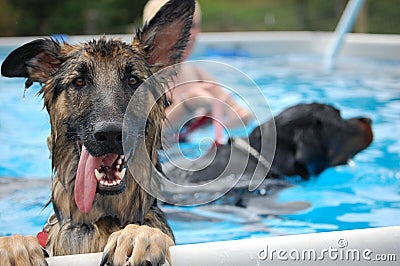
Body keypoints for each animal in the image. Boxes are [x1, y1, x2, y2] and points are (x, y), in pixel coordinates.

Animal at [0, 1, 195, 264]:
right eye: (80, 81)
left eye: (133, 80)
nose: (111, 134)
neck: (102, 219)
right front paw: (13, 245)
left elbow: (146, 230)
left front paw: (139, 235)